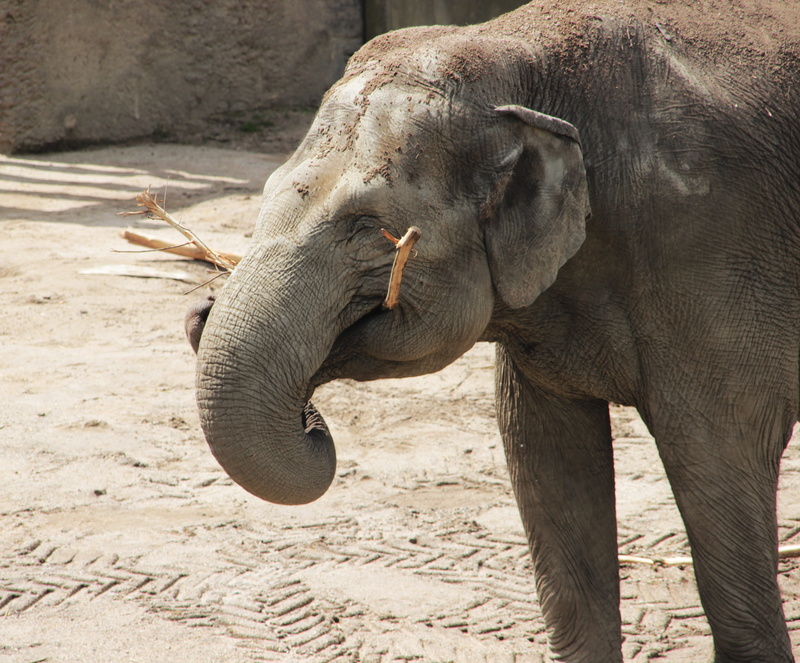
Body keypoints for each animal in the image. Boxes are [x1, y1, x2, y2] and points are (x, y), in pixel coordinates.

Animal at [186, 2, 800, 661]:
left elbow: (718, 460)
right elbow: (545, 460)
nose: (202, 308)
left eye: (367, 225)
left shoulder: (716, 247)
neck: (517, 63)